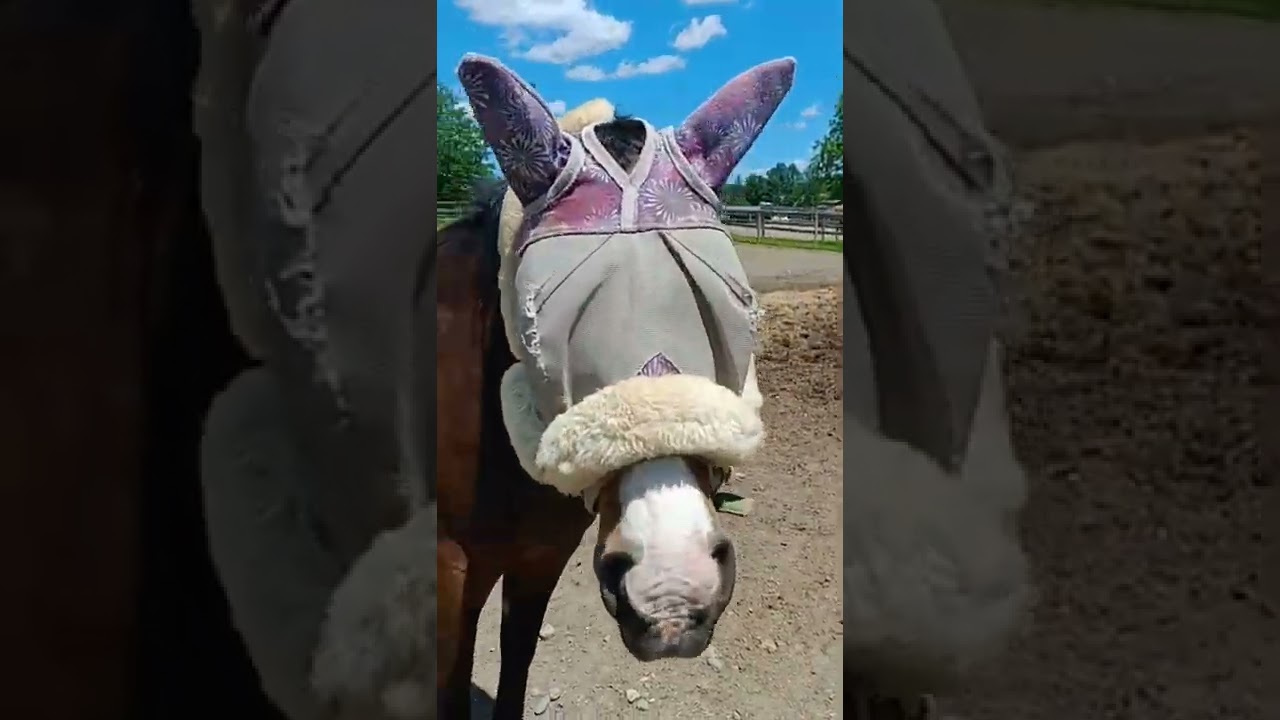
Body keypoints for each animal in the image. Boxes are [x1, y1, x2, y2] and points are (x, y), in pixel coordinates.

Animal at [436, 55, 794, 717]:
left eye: (741, 309)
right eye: (538, 327)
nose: (673, 589)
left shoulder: (537, 562)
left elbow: (515, 670)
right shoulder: (449, 573)